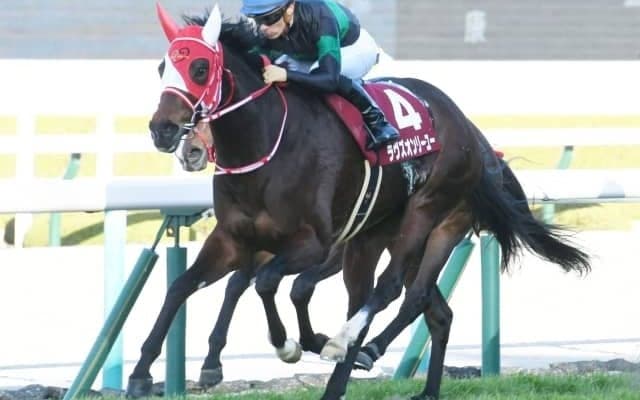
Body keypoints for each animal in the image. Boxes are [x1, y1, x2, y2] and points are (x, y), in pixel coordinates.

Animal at [132, 5, 590, 399]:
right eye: (162, 67)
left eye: (200, 67)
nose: (163, 131)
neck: (265, 145)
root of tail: (470, 132)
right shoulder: (233, 239)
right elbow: (183, 286)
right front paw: (142, 374)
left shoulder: (313, 243)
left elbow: (268, 284)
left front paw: (290, 344)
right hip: (374, 239)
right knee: (422, 306)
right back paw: (399, 385)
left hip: (430, 215)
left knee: (395, 290)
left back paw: (351, 345)